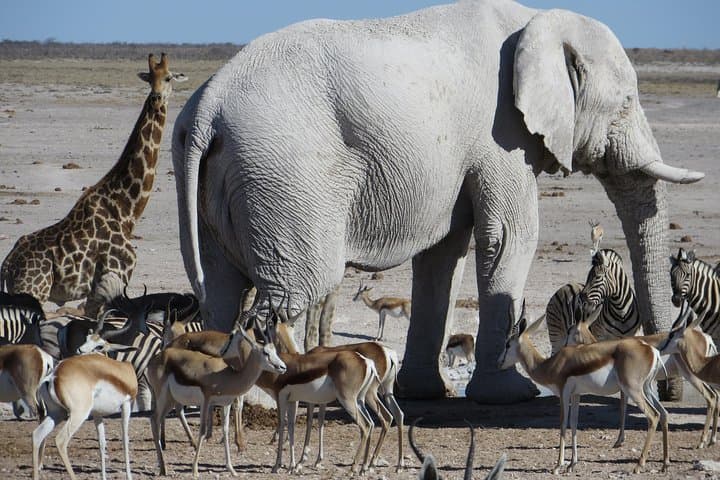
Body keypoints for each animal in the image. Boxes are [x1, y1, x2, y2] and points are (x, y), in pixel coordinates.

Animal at [0, 54, 188, 316]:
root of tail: (7, 265)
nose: (157, 97)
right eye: (151, 79)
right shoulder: (116, 275)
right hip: (33, 290)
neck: (126, 210)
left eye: (169, 77)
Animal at [173, 0, 704, 402]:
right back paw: (262, 399)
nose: (668, 389)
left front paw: (427, 393)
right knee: (293, 288)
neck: (538, 18)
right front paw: (509, 397)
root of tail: (205, 107)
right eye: (628, 102)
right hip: (284, 177)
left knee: (222, 288)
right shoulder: (501, 137)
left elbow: (442, 256)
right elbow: (509, 238)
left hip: (226, 182)